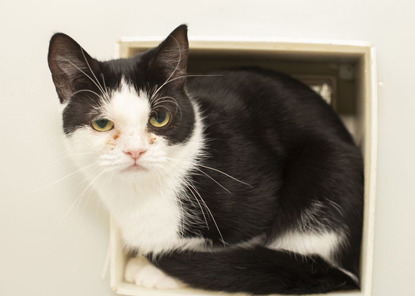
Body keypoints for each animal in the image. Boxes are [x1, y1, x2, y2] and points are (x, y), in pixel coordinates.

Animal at [48, 26, 364, 296]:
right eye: (102, 123)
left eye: (159, 118)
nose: (135, 151)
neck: (141, 195)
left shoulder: (257, 196)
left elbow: (232, 246)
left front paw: (156, 269)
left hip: (328, 170)